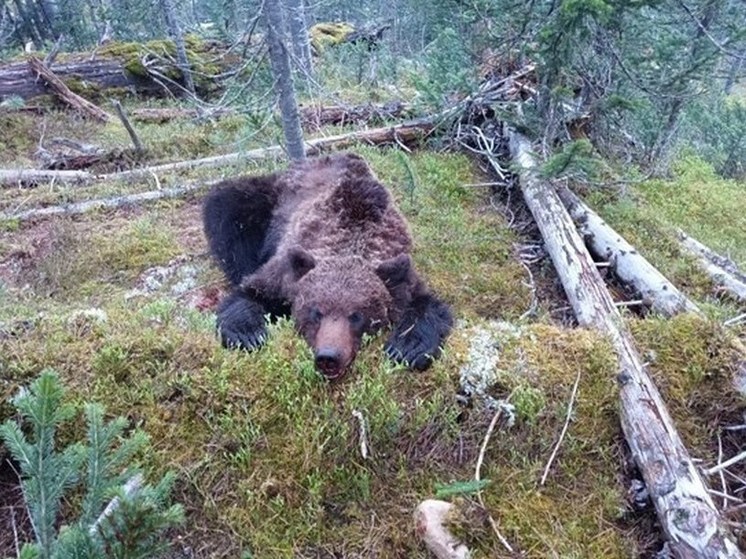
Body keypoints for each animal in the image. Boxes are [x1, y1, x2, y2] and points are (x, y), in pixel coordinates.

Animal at [201, 153, 450, 380]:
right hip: (269, 200)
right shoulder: (286, 270)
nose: (328, 357)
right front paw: (248, 334)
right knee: (228, 206)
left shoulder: (400, 271)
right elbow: (250, 292)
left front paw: (408, 348)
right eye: (316, 312)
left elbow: (428, 306)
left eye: (357, 315)